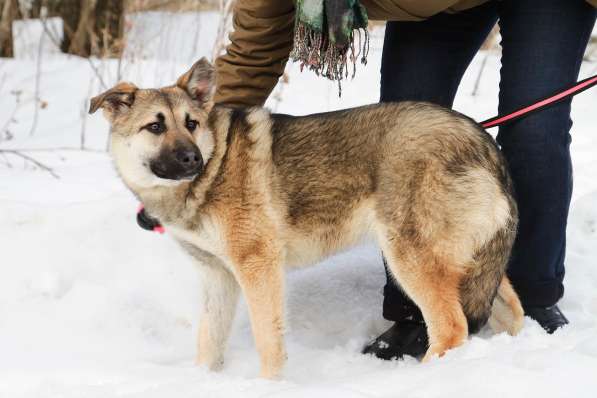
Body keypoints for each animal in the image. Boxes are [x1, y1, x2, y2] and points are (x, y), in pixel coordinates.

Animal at [88, 57, 520, 378]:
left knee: (451, 329)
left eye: (191, 123)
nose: (193, 158)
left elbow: (268, 340)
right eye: (155, 126)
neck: (211, 174)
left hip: (411, 258)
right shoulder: (217, 277)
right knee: (511, 311)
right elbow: (209, 342)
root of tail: (483, 141)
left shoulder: (258, 267)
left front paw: (268, 385)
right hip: (473, 266)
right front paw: (202, 381)